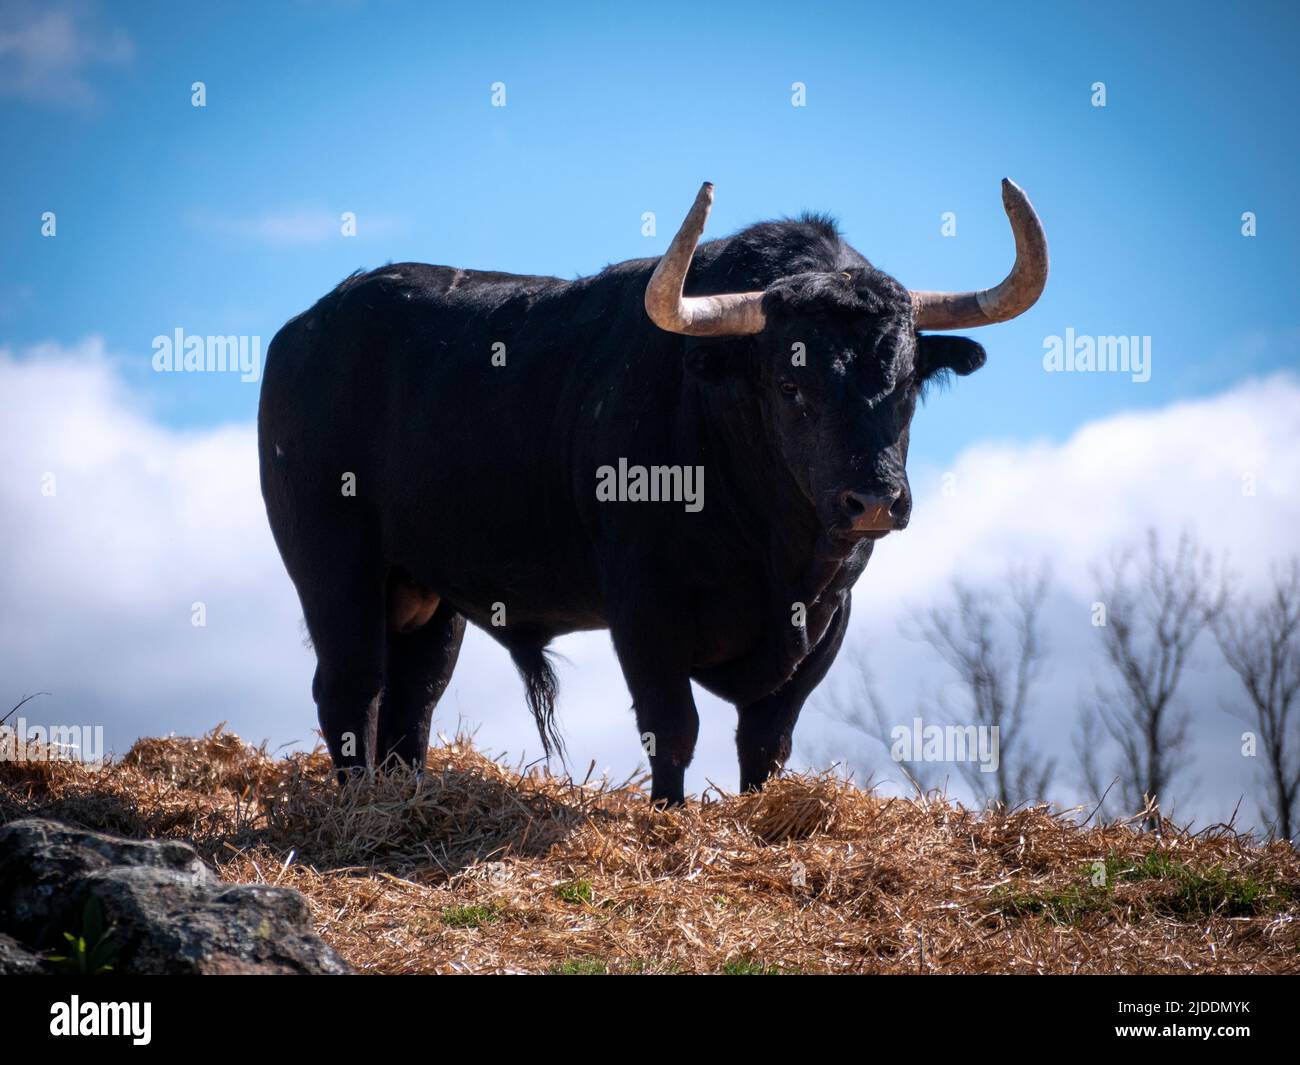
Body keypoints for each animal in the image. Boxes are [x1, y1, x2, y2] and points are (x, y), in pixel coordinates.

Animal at [256, 179, 1045, 806]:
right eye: (791, 385)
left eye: (907, 384)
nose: (874, 501)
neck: (777, 553)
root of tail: (306, 328)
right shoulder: (644, 608)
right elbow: (672, 727)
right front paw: (670, 815)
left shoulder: (829, 619)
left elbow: (767, 739)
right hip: (334, 564)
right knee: (352, 686)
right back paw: (359, 808)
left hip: (428, 594)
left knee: (413, 698)